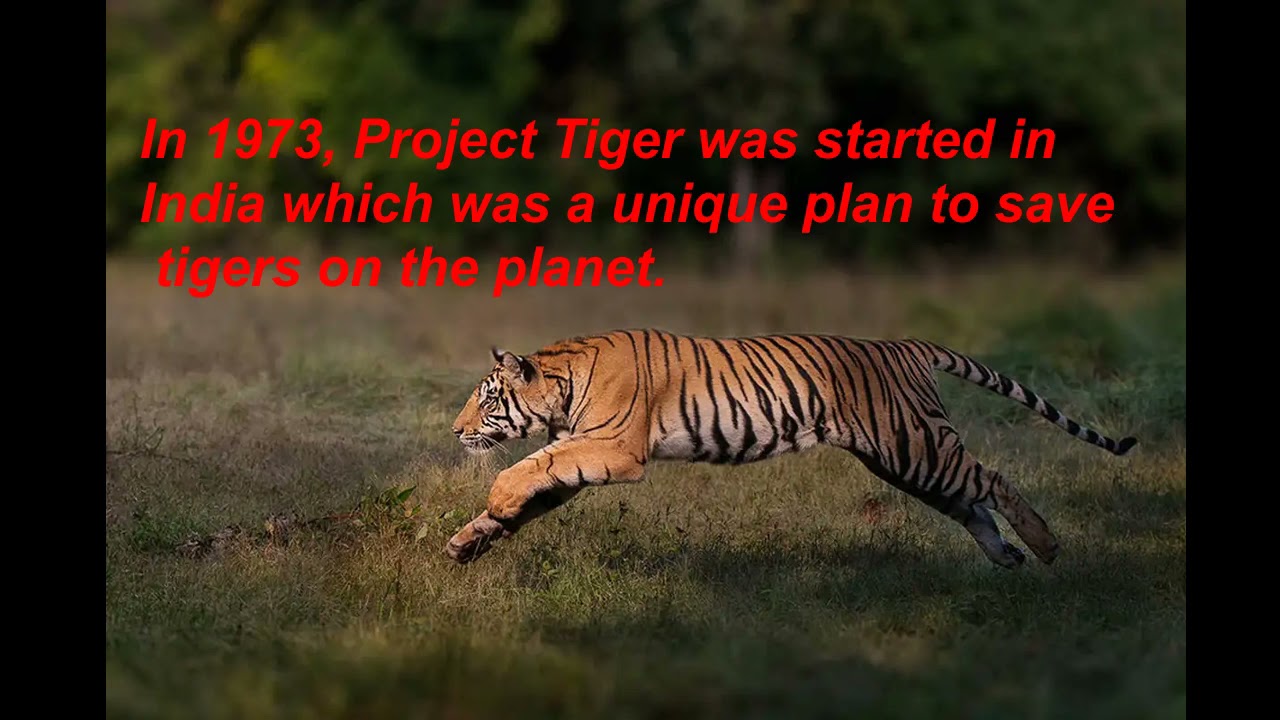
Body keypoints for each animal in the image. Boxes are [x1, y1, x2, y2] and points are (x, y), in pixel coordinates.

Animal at [445, 328, 1137, 569]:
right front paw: (471, 539)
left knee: (993, 479)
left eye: (487, 399)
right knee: (970, 503)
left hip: (916, 447)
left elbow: (530, 468)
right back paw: (1006, 557)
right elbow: (534, 486)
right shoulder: (582, 452)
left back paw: (1044, 547)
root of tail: (906, 345)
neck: (562, 385)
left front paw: (495, 501)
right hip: (906, 463)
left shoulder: (614, 450)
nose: (454, 430)